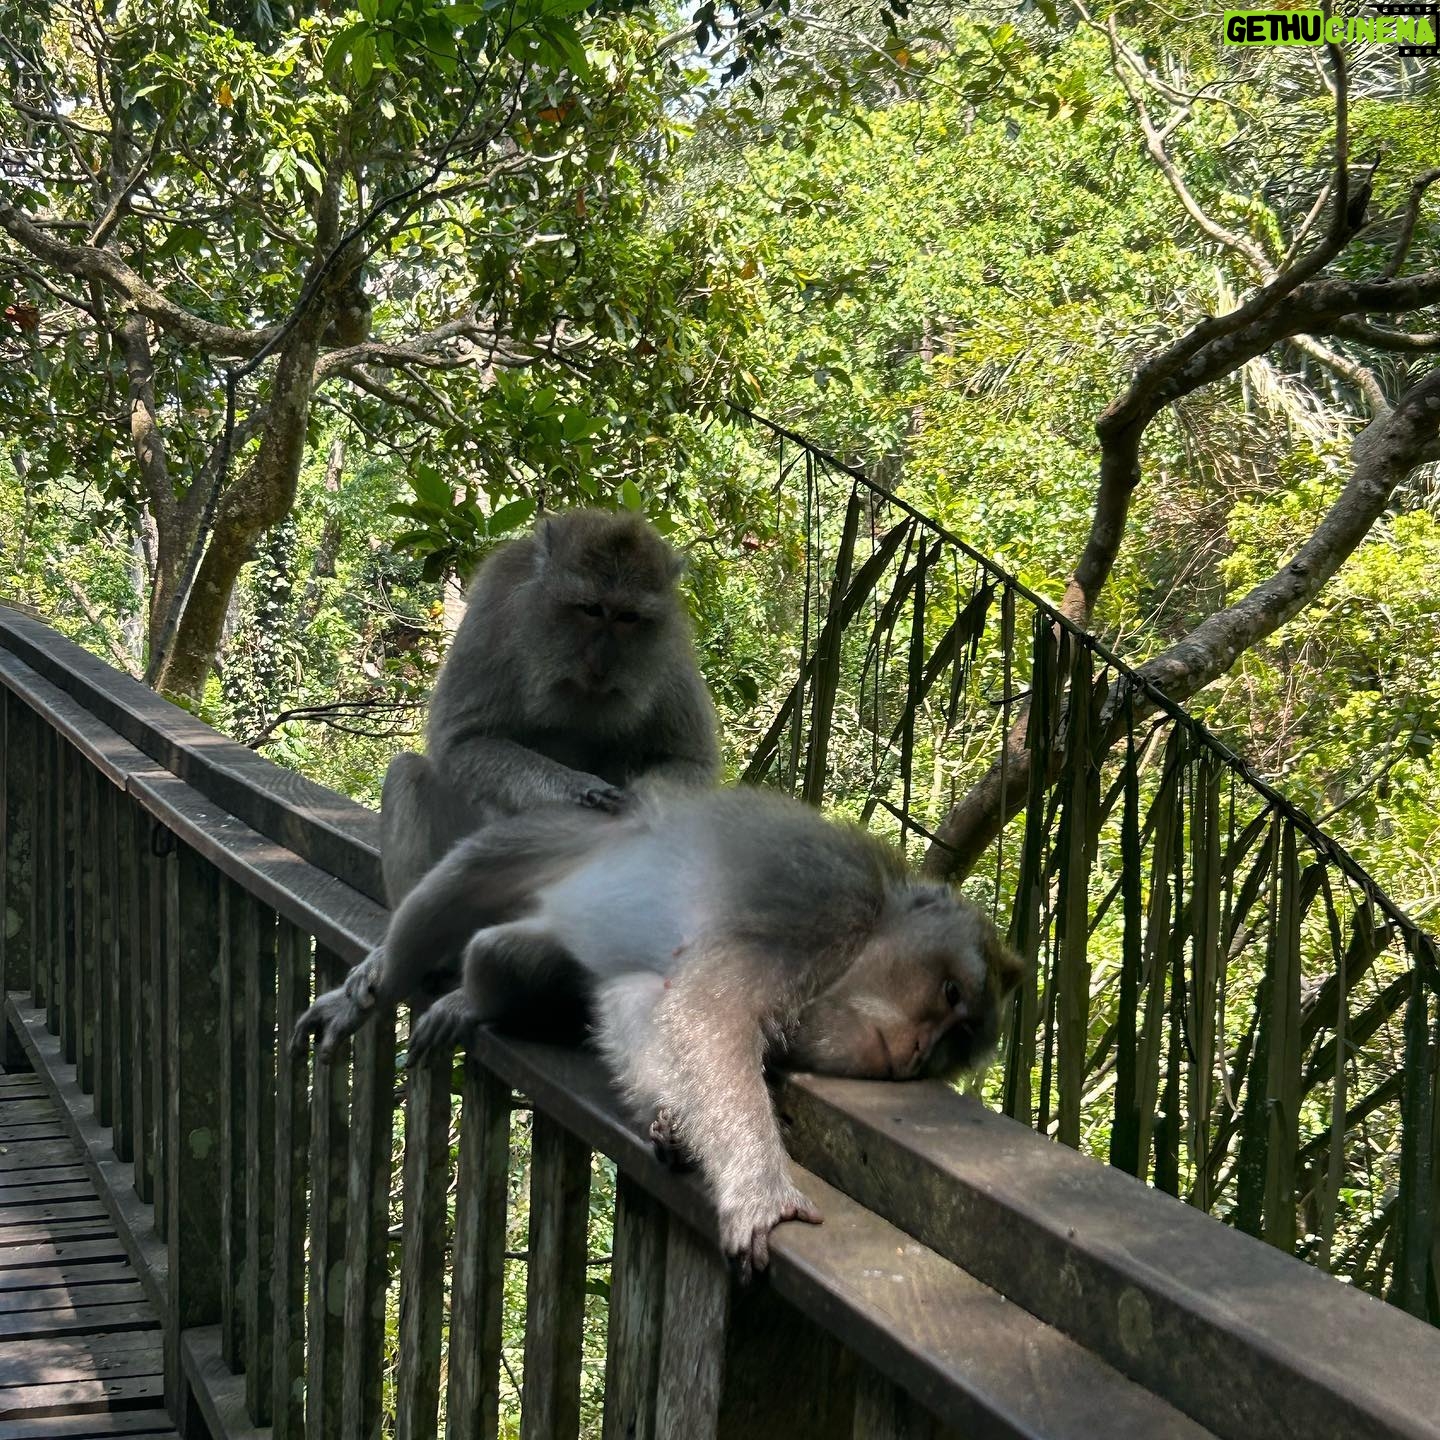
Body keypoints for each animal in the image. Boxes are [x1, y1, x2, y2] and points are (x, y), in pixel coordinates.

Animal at [292, 785, 1025, 1280]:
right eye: (950, 994)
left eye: (955, 1046)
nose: (919, 1052)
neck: (861, 942)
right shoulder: (817, 905)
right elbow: (710, 1008)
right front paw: (760, 1189)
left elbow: (657, 1000)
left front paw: (674, 1123)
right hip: (565, 836)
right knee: (470, 872)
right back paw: (382, 976)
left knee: (518, 957)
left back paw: (477, 993)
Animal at [378, 509, 720, 907]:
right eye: (591, 610)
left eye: (628, 618)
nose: (601, 663)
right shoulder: (495, 612)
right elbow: (464, 740)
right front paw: (582, 789)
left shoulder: (671, 648)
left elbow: (689, 762)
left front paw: (638, 806)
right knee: (408, 772)